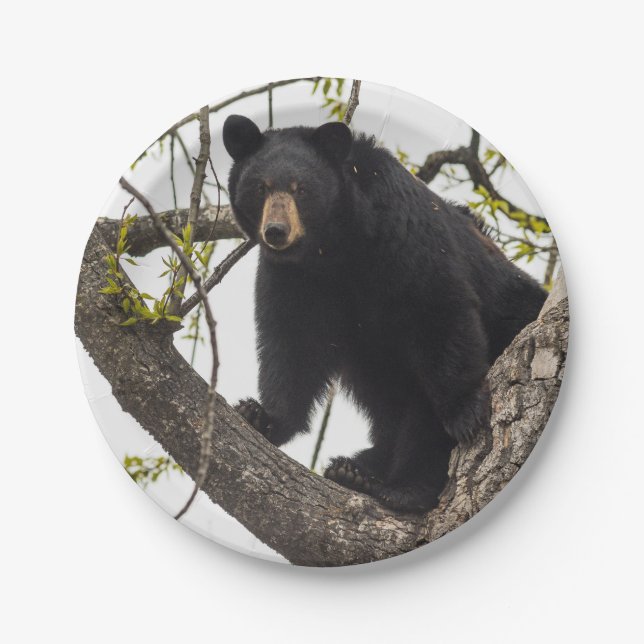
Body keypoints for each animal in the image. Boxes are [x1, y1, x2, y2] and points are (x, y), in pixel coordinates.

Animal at [222, 114, 547, 513]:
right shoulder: (294, 278)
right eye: (261, 188)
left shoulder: (402, 234)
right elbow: (292, 342)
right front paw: (261, 415)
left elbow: (438, 311)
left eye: (301, 189)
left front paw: (464, 412)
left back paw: (399, 486)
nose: (276, 232)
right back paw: (354, 468)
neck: (334, 248)